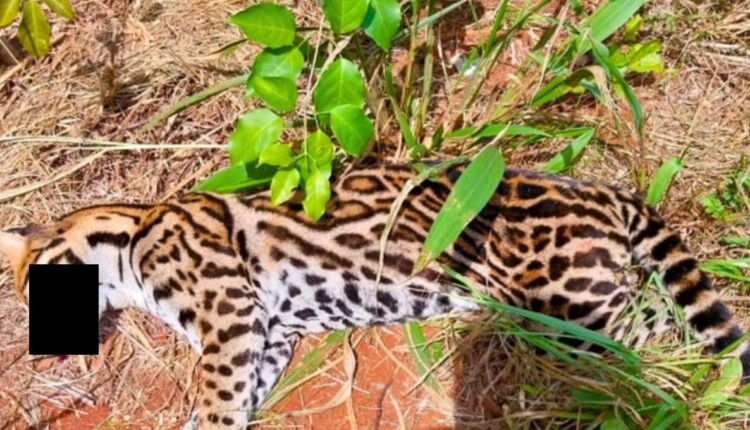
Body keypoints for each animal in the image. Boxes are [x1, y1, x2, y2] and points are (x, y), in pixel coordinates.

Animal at [1, 163, 750, 428]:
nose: (41, 347)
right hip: (586, 305)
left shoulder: (230, 314)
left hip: (573, 308)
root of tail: (600, 190)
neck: (129, 238)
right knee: (665, 319)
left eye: (31, 290)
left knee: (667, 338)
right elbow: (242, 393)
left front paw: (206, 425)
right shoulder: (269, 332)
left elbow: (216, 395)